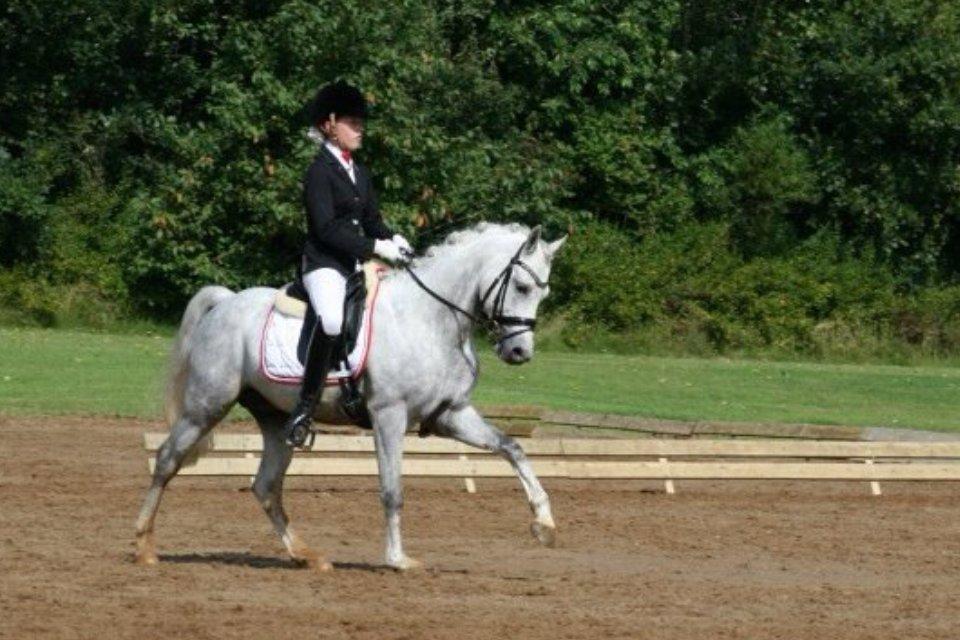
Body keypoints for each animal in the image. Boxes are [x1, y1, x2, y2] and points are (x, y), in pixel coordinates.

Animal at [135, 222, 567, 570]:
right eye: (522, 287)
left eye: (543, 293)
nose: (519, 352)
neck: (432, 319)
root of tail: (226, 302)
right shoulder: (389, 415)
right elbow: (392, 489)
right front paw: (397, 559)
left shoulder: (450, 414)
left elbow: (512, 448)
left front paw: (544, 524)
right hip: (206, 406)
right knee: (167, 460)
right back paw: (143, 545)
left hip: (275, 419)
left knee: (266, 486)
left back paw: (306, 555)